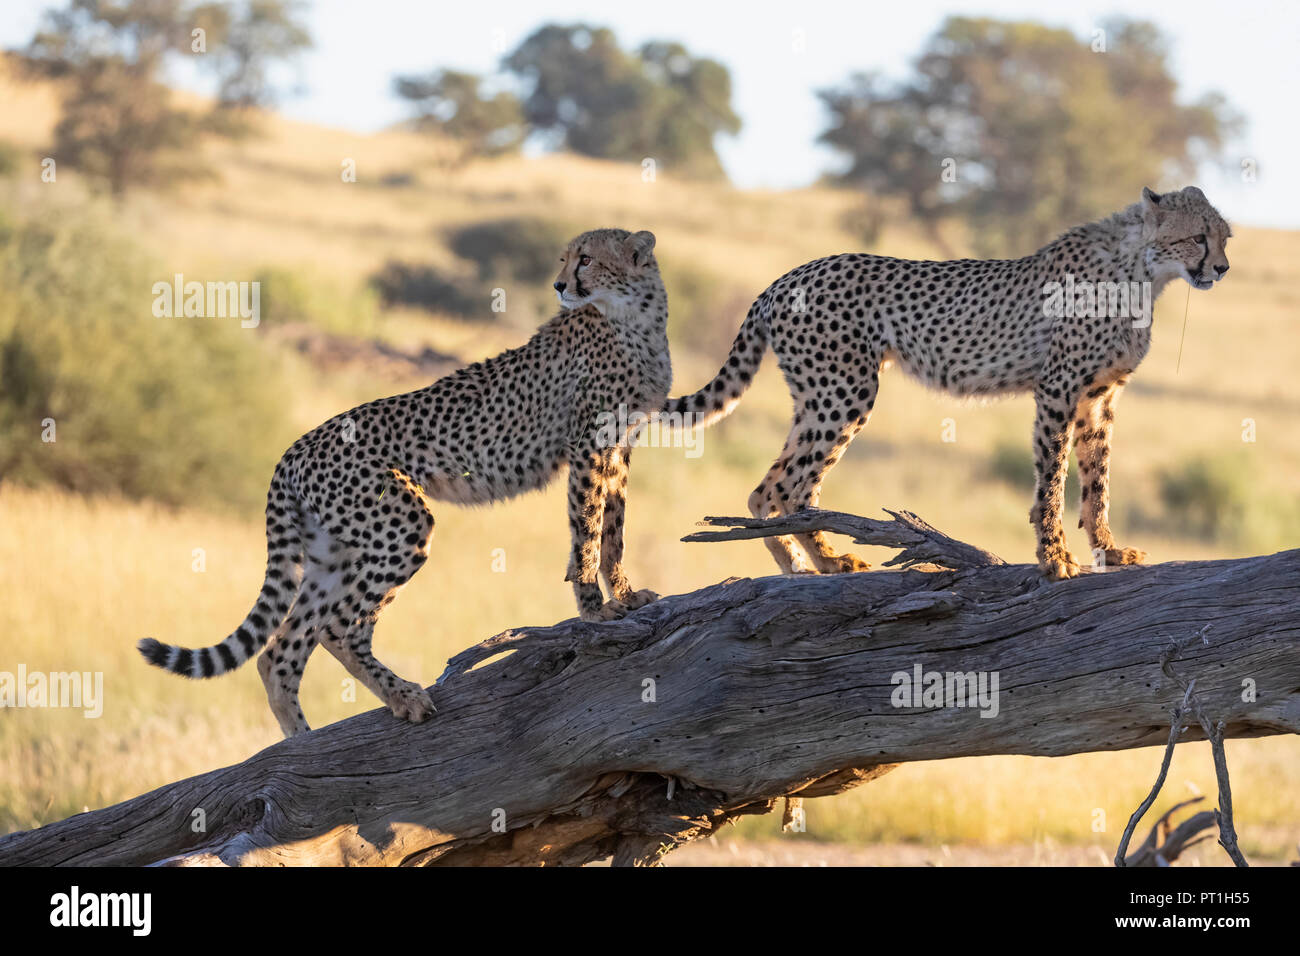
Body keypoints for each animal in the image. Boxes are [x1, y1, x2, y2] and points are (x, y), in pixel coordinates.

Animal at [142, 227, 670, 738]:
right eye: (567, 258)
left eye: (586, 259)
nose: (559, 286)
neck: (635, 317)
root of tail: (295, 447)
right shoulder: (587, 446)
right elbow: (587, 531)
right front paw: (595, 612)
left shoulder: (619, 447)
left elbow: (613, 529)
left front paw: (625, 595)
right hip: (400, 525)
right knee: (337, 629)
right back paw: (403, 698)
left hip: (334, 551)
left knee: (281, 648)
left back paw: (301, 738)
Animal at [670, 184, 1227, 574]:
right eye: (1197, 237)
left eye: (1226, 237)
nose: (1221, 268)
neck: (1142, 270)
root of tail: (786, 278)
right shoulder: (1058, 389)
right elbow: (1053, 480)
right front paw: (1054, 559)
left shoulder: (1099, 398)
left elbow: (1098, 481)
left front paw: (1108, 551)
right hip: (844, 391)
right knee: (789, 488)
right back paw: (826, 560)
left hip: (818, 395)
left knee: (765, 490)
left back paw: (799, 565)